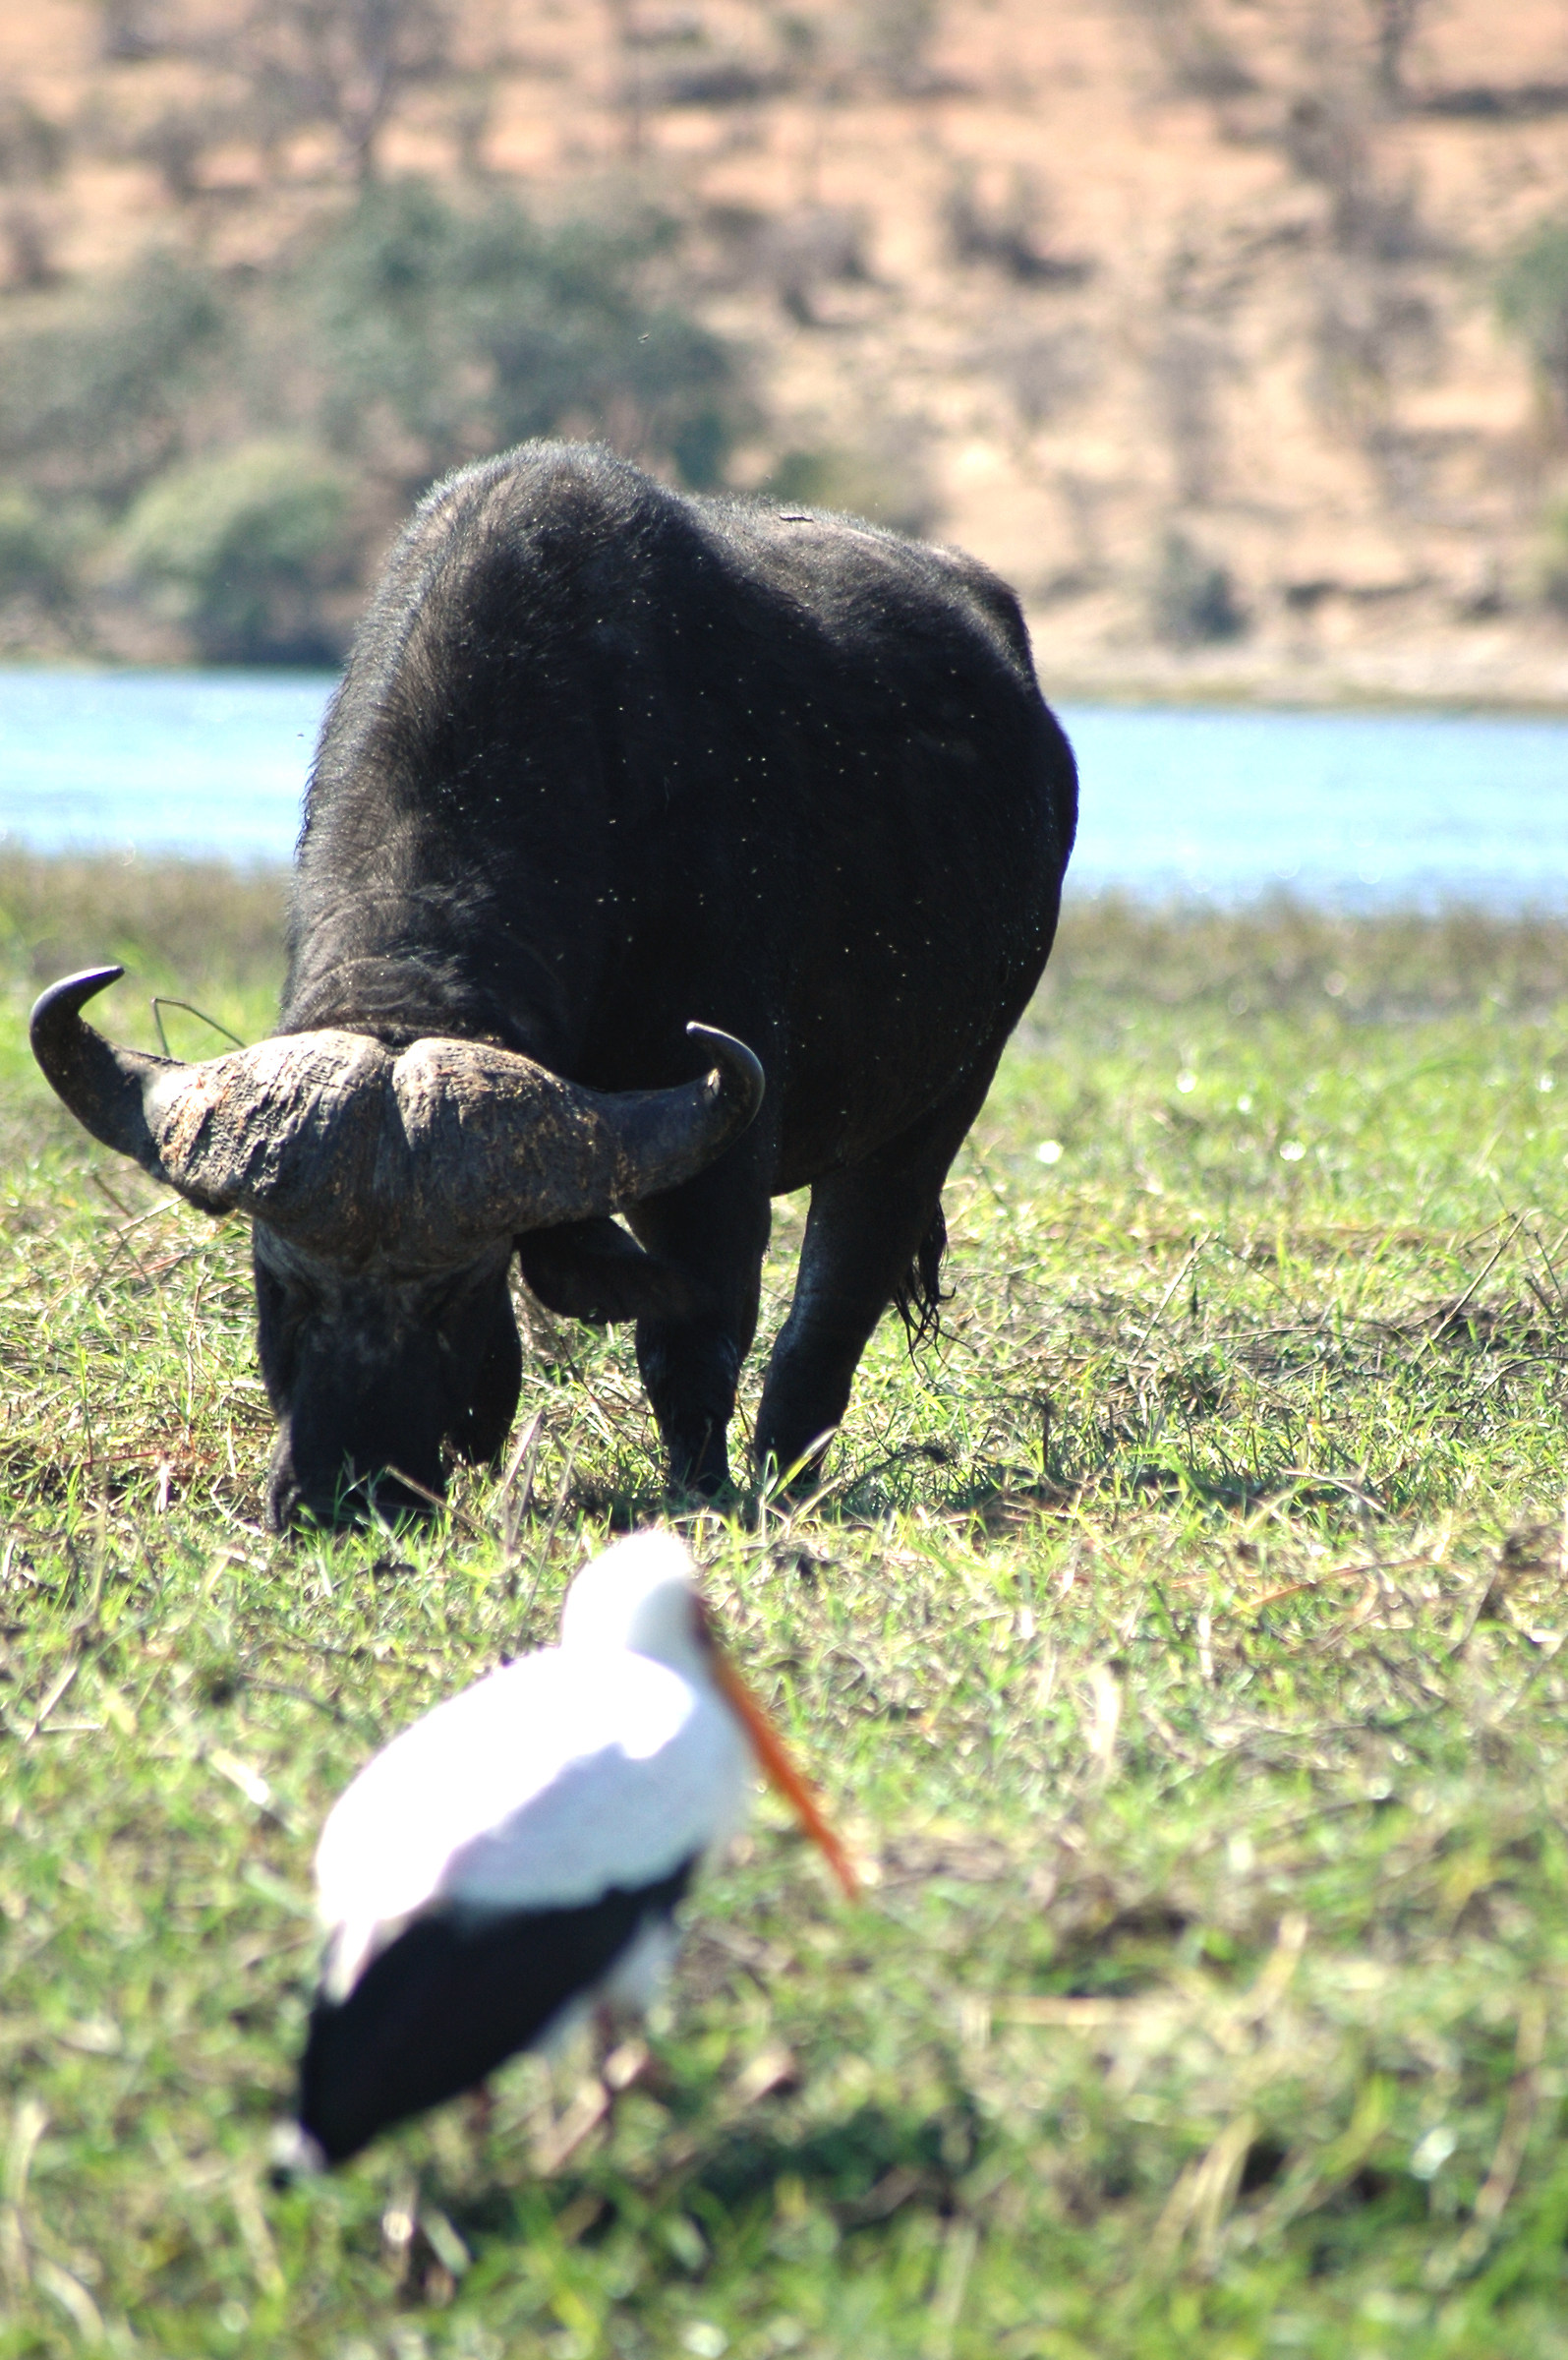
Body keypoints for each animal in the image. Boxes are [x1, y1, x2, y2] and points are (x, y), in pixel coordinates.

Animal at [33, 442, 1077, 1525]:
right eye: (278, 1281)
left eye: (459, 1290)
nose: (344, 1494)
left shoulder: (716, 1147)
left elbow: (693, 1339)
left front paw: (701, 1492)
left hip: (939, 1099)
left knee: (834, 1303)